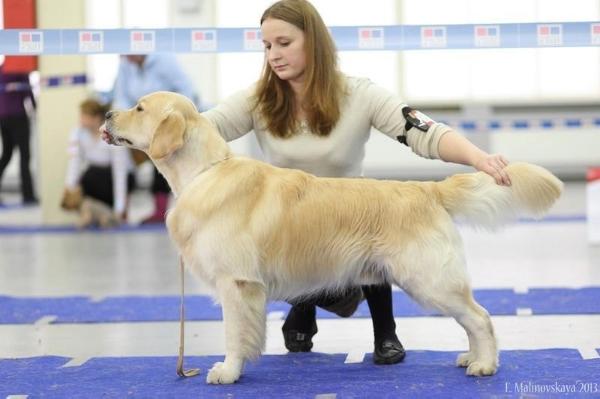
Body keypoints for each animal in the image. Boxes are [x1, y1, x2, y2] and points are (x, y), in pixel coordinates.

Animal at [99, 90, 564, 384]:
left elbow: (235, 334)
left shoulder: (237, 282)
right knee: (471, 320)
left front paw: (228, 371)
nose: (106, 115)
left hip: (430, 279)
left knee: (481, 317)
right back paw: (472, 357)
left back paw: (485, 366)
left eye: (139, 107)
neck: (204, 171)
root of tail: (426, 189)